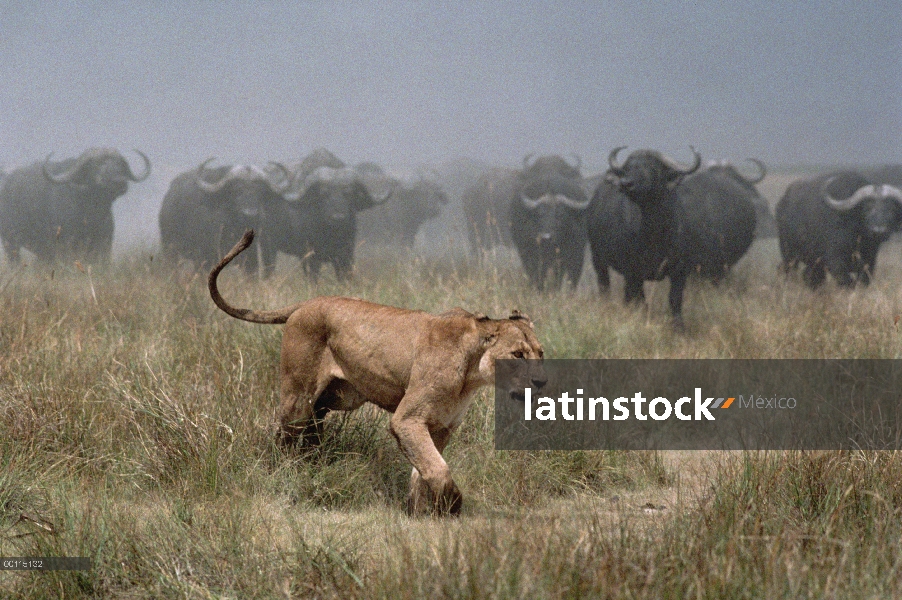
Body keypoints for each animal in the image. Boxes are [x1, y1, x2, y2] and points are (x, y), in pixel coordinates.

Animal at [0, 146, 150, 264]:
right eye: (96, 165)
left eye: (120, 164)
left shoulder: (104, 242)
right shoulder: (64, 243)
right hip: (10, 241)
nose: (119, 181)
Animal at [159, 157, 292, 274]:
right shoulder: (203, 258)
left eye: (260, 191)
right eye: (236, 190)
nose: (250, 214)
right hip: (170, 249)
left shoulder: (251, 260)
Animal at [592, 148, 708, 330]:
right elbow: (638, 297)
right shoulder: (632, 271)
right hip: (598, 259)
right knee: (605, 285)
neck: (654, 234)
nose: (626, 183)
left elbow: (675, 299)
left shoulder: (680, 270)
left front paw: (679, 327)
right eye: (628, 168)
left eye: (652, 168)